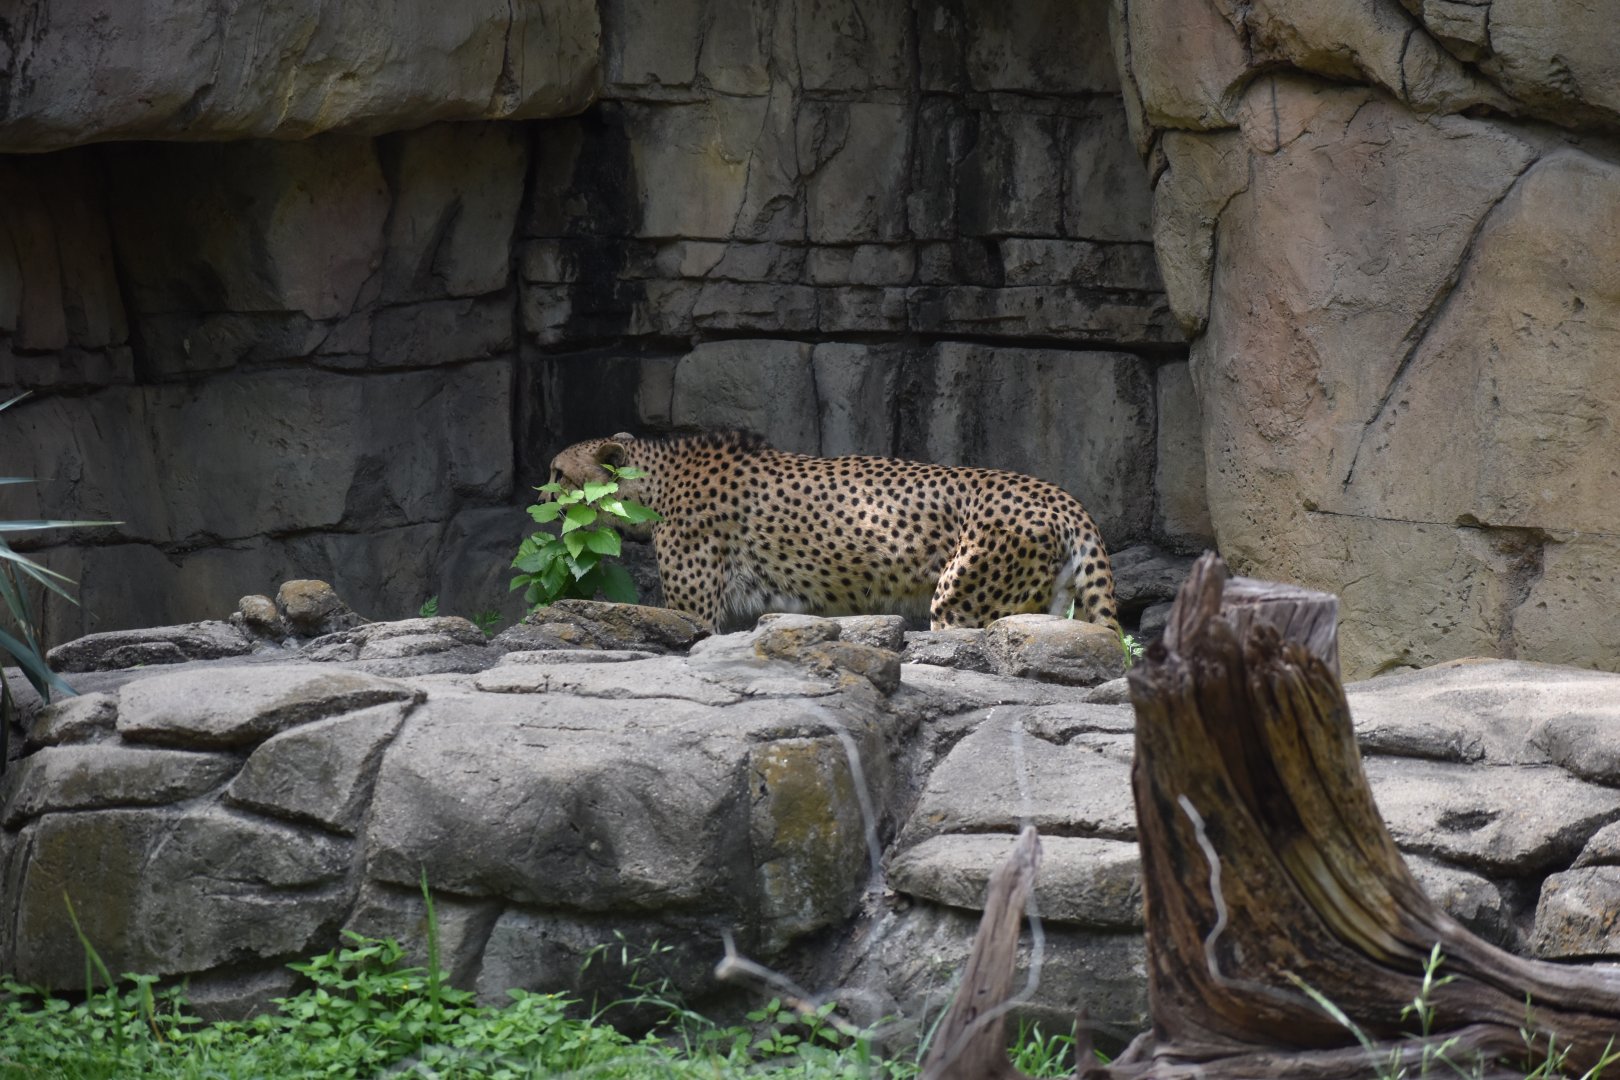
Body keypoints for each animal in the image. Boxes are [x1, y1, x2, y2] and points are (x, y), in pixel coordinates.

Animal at [545, 431, 1122, 635]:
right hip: (1041, 603)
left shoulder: (697, 610)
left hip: (962, 603)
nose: (542, 497)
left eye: (558, 473)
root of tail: (1060, 494)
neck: (656, 482)